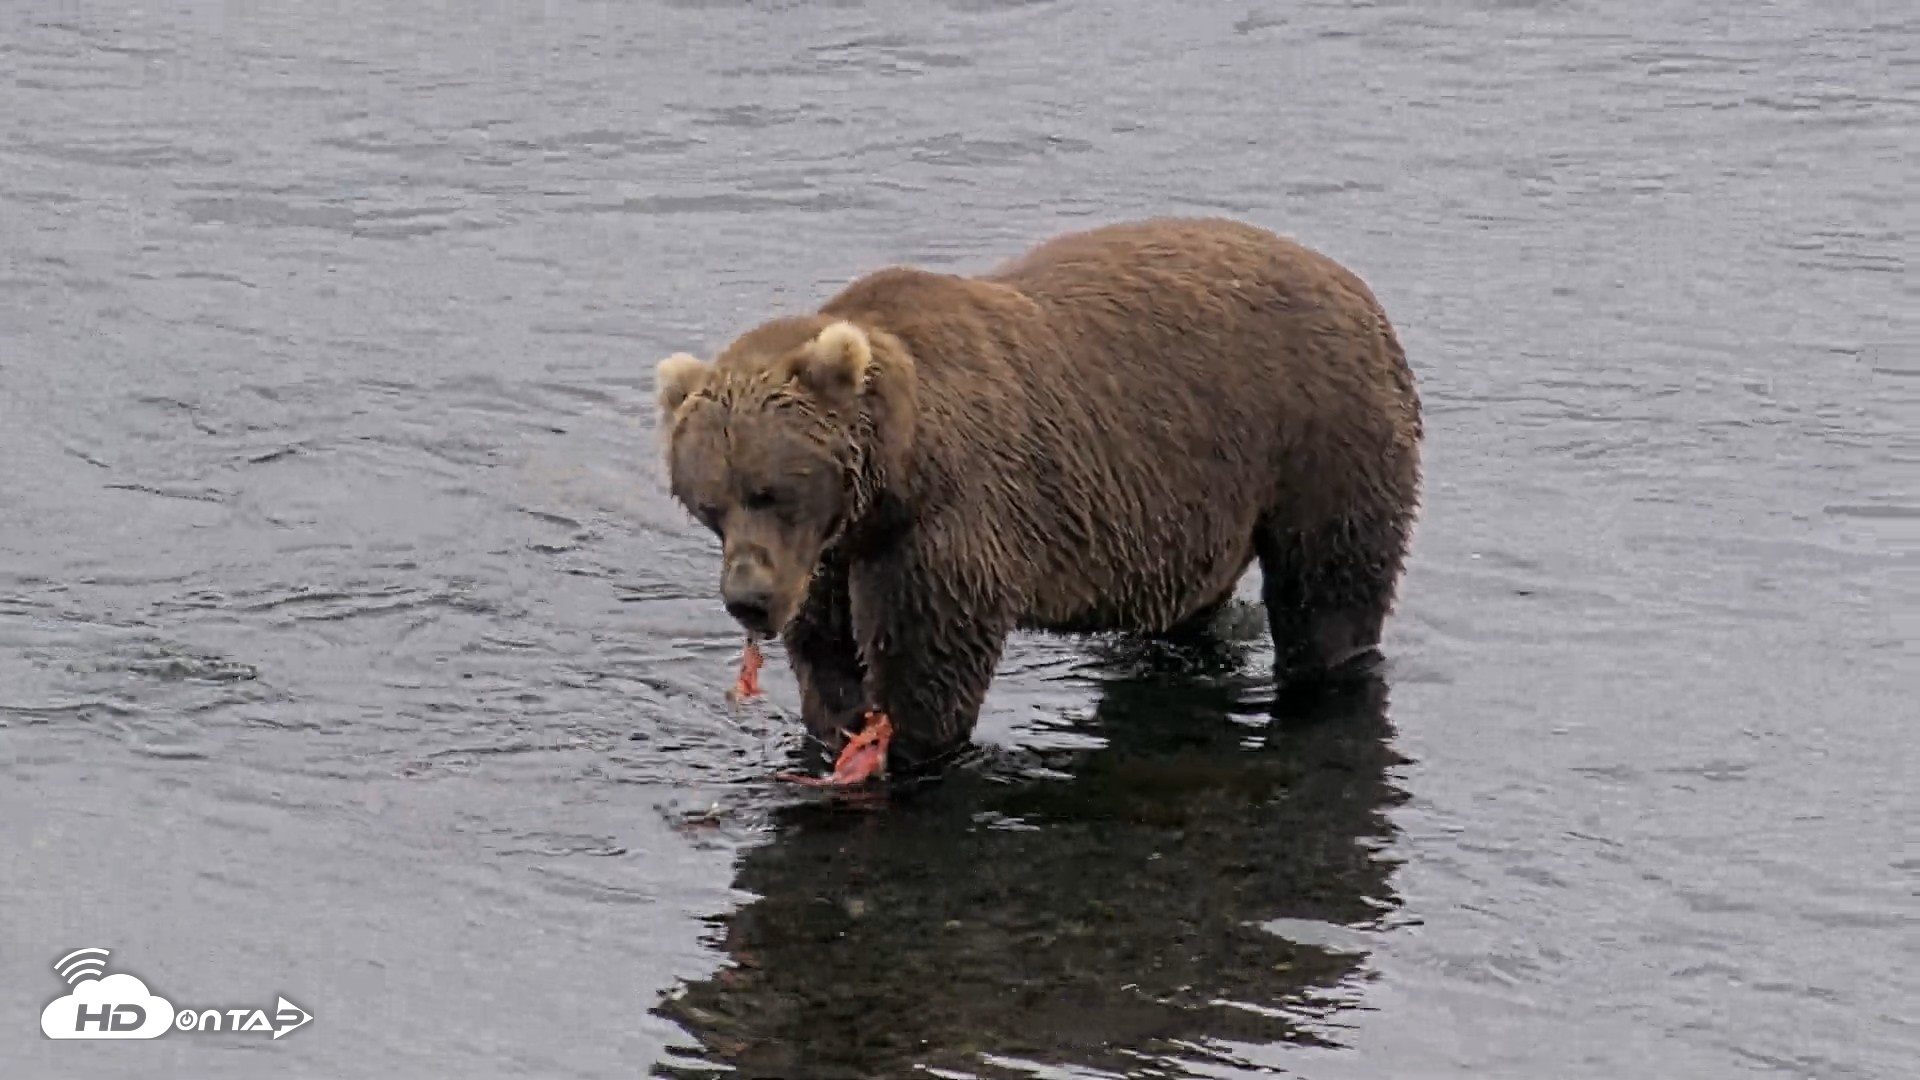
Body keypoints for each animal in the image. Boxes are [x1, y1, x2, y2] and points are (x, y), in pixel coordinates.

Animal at [653, 216, 1423, 777]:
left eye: (769, 490)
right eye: (709, 505)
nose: (749, 600)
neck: (895, 476)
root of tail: (1352, 282)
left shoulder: (947, 527)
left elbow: (930, 666)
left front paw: (908, 750)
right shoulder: (833, 558)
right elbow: (827, 655)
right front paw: (836, 727)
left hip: (1321, 433)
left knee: (1330, 588)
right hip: (1197, 502)